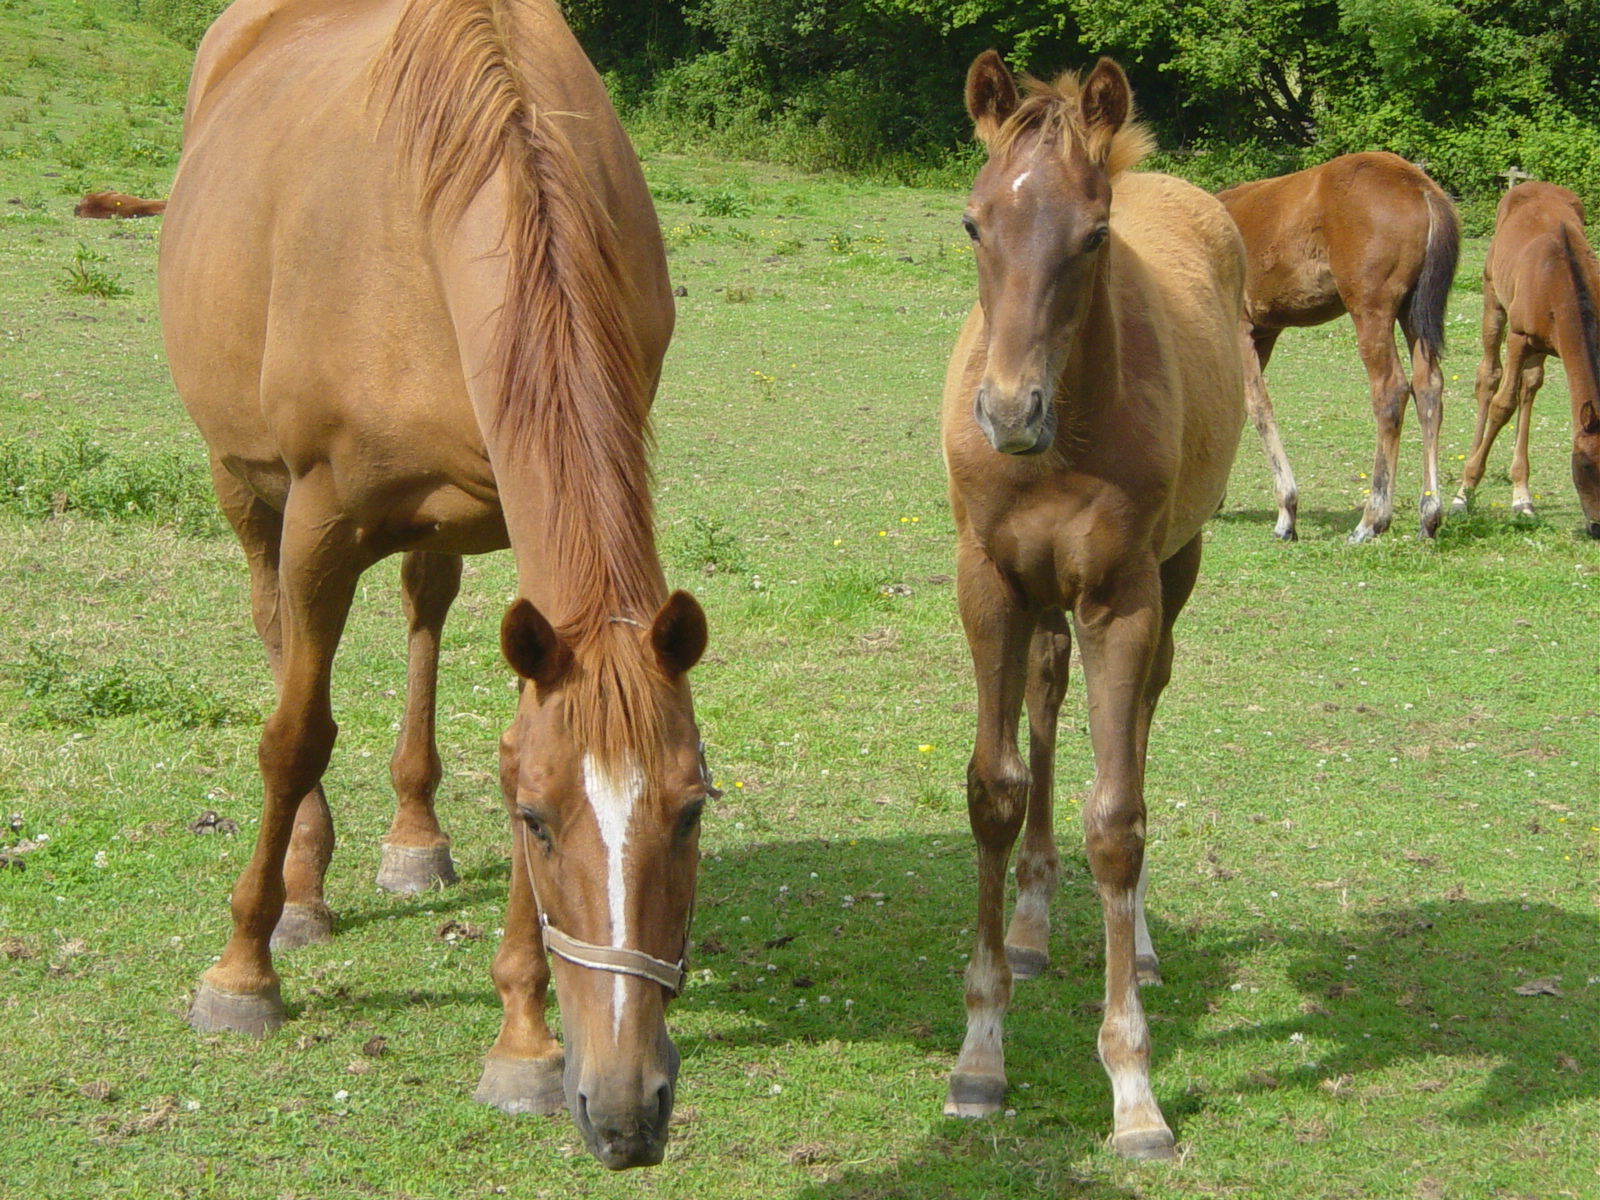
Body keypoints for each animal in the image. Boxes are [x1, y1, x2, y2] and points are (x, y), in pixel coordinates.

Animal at [162, 0, 713, 1177]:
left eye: (692, 811)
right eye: (540, 824)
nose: (628, 1109)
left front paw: (522, 1040)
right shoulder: (320, 517)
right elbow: (293, 735)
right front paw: (241, 970)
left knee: (422, 607)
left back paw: (412, 839)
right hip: (248, 488)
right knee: (278, 637)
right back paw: (302, 888)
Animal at [940, 51, 1241, 1158]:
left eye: (1094, 236)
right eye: (974, 223)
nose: (1007, 412)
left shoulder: (1120, 594)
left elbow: (1117, 817)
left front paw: (1134, 1087)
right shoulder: (988, 583)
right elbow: (994, 788)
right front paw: (980, 1058)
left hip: (1173, 571)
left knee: (1141, 721)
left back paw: (1140, 939)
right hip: (1039, 599)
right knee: (1044, 692)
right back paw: (1032, 926)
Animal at [1209, 152, 1465, 544]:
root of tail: (1420, 187)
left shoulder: (1240, 329)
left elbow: (1257, 406)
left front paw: (1287, 513)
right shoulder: (1264, 333)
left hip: (1371, 310)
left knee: (1390, 391)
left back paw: (1371, 520)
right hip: (1413, 312)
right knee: (1428, 388)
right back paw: (1428, 516)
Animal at [1452, 180, 1600, 537]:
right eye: (1584, 463)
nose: (1598, 527)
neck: (1561, 277)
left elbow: (1521, 396)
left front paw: (1521, 498)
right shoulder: (1518, 339)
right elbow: (1502, 405)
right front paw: (1466, 489)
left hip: (1541, 349)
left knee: (1529, 387)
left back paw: (1521, 495)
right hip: (1494, 302)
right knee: (1488, 378)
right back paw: (1465, 491)